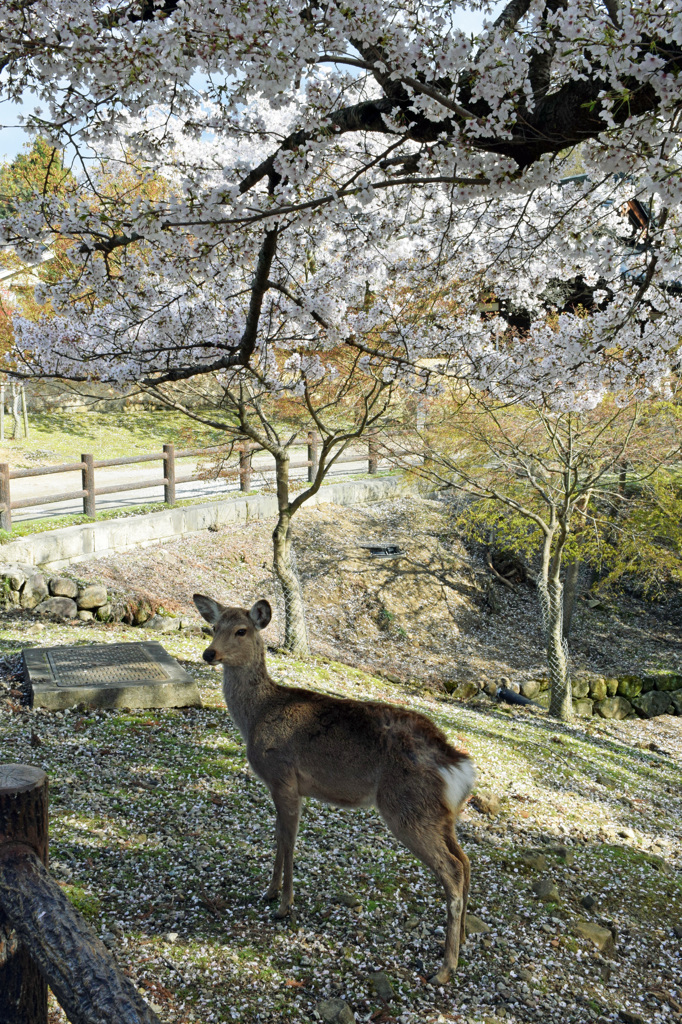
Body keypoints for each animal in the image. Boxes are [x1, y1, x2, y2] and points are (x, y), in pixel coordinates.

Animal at [193, 593, 475, 983]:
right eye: (213, 626)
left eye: (241, 630)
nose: (209, 654)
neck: (256, 717)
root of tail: (458, 764)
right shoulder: (280, 786)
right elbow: (278, 837)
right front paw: (269, 893)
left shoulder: (284, 777)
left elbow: (289, 842)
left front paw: (284, 906)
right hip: (441, 815)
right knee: (465, 861)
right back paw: (460, 943)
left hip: (407, 808)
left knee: (451, 870)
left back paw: (444, 969)